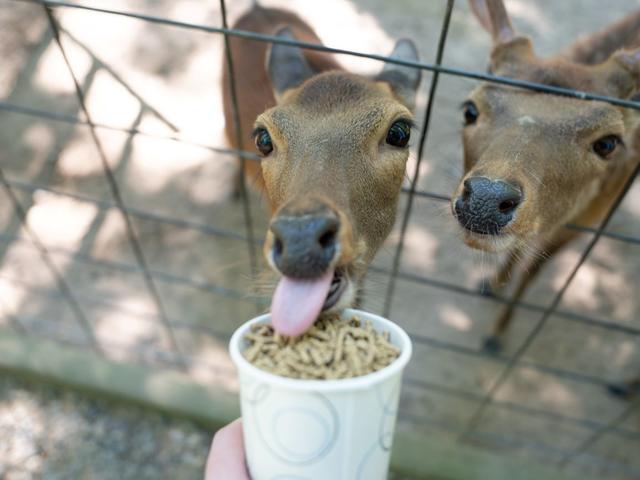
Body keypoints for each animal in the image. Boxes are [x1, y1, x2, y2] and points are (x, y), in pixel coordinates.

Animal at [450, 0, 640, 398]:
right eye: (470, 109)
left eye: (608, 142)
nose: (486, 198)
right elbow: (520, 247)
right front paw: (492, 283)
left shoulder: (584, 222)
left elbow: (533, 270)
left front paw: (496, 336)